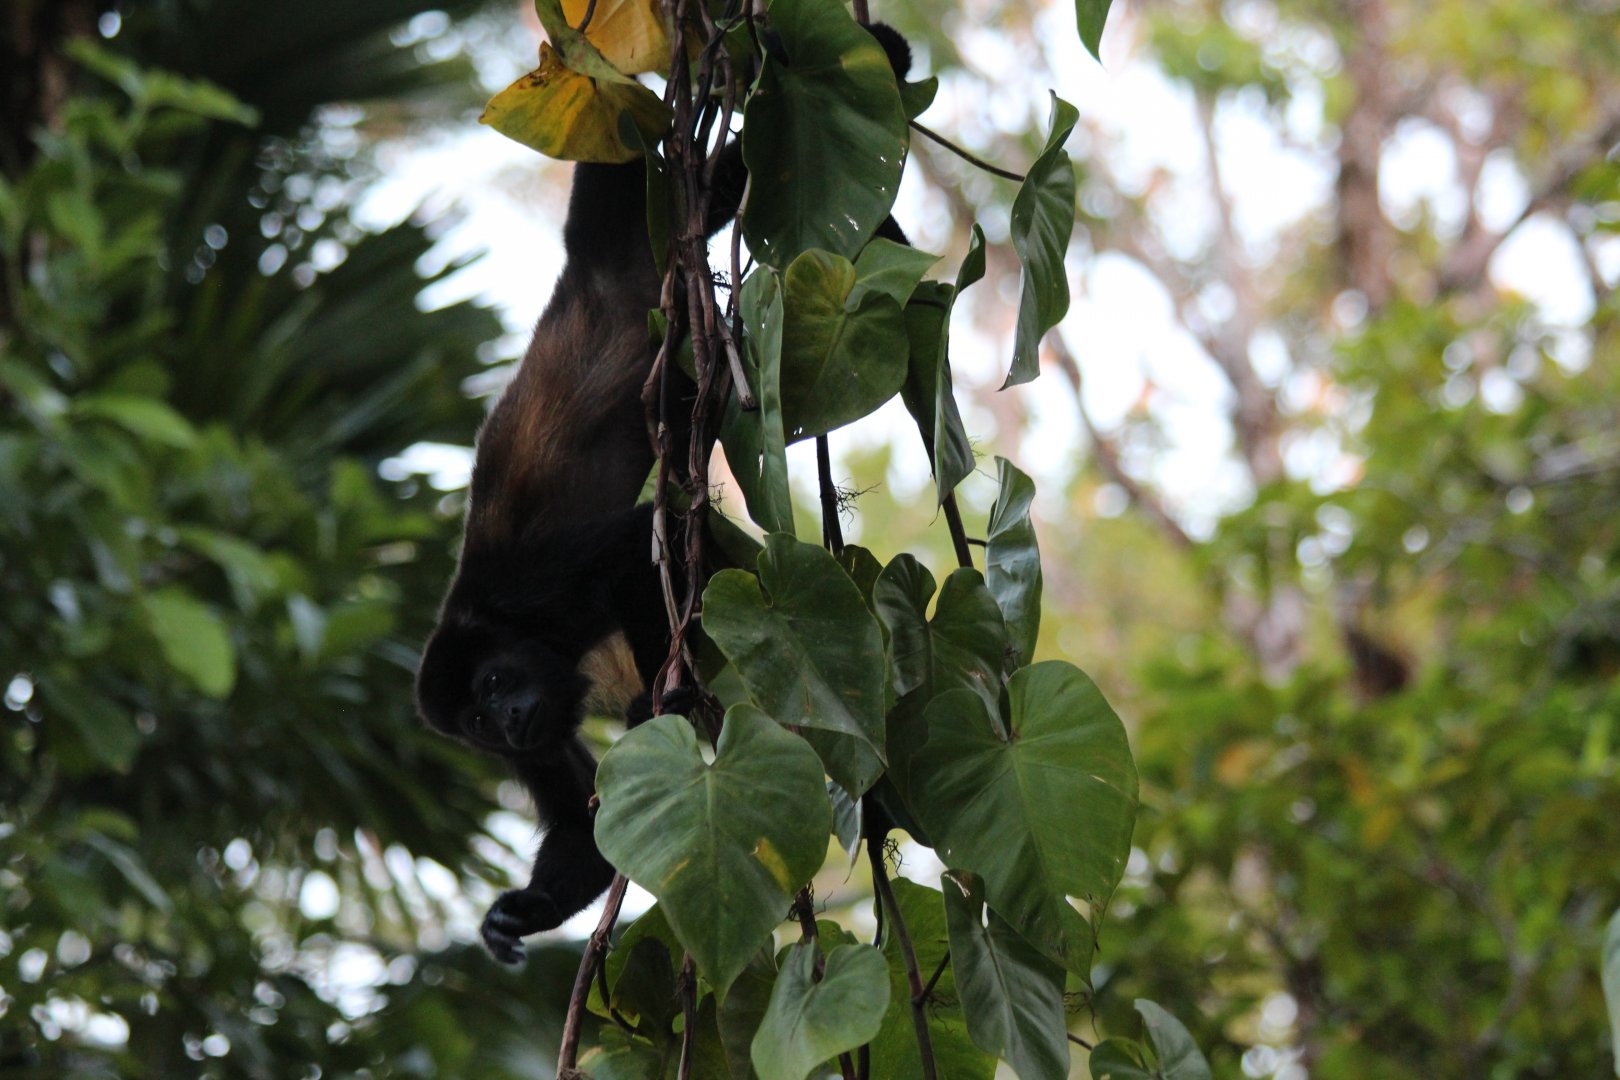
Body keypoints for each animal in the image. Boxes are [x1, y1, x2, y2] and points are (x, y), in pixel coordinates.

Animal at [416, 22, 917, 965]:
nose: (508, 721)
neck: (500, 629)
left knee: (719, 176)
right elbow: (579, 822)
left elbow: (630, 548)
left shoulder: (536, 584)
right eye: (478, 725)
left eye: (496, 688)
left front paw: (662, 698)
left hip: (635, 210)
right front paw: (519, 913)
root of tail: (580, 270)